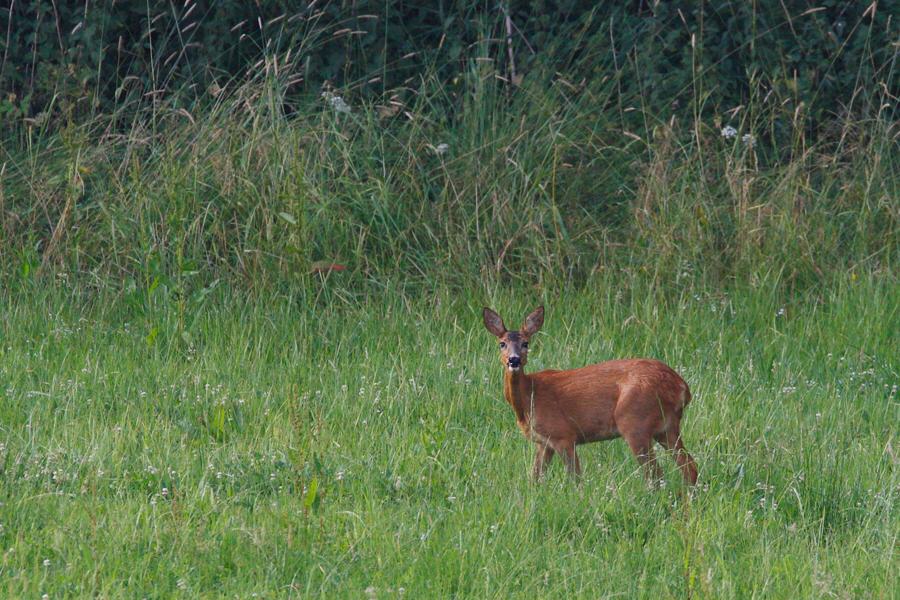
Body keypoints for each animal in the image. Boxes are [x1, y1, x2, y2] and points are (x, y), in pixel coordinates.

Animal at [482, 306, 698, 486]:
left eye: (526, 343)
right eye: (502, 344)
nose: (514, 360)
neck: (529, 399)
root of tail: (682, 387)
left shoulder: (563, 434)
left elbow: (576, 479)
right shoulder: (543, 443)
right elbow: (535, 478)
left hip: (635, 421)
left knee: (656, 475)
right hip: (667, 427)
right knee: (689, 466)